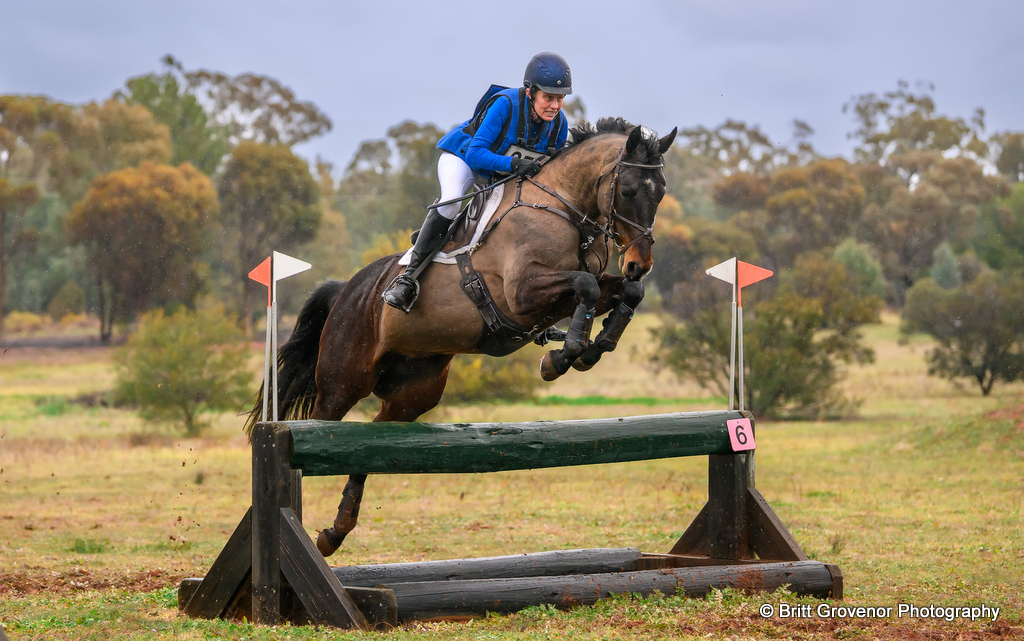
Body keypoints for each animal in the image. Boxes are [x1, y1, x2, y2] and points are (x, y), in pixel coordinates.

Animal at [248, 117, 677, 556]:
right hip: (342, 381)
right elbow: (586, 285)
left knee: (369, 446)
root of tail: (347, 290)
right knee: (316, 431)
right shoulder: (521, 294)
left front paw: (594, 346)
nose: (639, 263)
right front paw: (561, 358)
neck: (563, 208)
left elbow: (624, 292)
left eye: (661, 193)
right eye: (627, 192)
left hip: (413, 392)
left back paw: (334, 532)